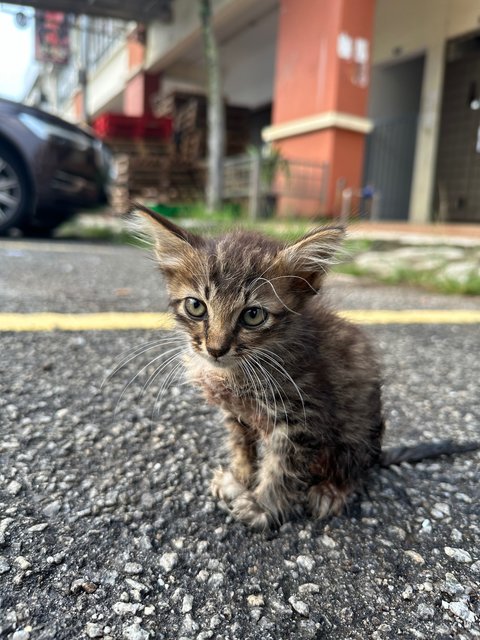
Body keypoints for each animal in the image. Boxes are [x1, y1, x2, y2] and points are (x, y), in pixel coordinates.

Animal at [132, 205, 386, 528]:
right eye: (196, 306)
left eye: (253, 315)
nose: (216, 349)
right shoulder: (236, 412)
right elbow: (241, 445)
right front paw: (240, 479)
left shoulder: (304, 417)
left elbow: (282, 467)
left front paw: (263, 506)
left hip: (358, 432)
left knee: (354, 466)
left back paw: (331, 490)